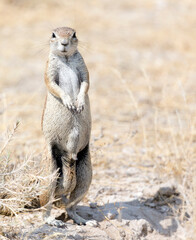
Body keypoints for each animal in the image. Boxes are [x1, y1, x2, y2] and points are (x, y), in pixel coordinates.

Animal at [40, 26, 97, 227]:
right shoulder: (49, 70)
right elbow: (53, 85)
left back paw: (83, 220)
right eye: (53, 34)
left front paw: (79, 103)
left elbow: (86, 83)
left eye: (74, 34)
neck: (65, 58)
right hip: (50, 173)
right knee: (45, 206)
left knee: (70, 206)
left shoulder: (84, 68)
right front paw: (70, 102)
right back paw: (51, 221)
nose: (64, 43)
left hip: (86, 176)